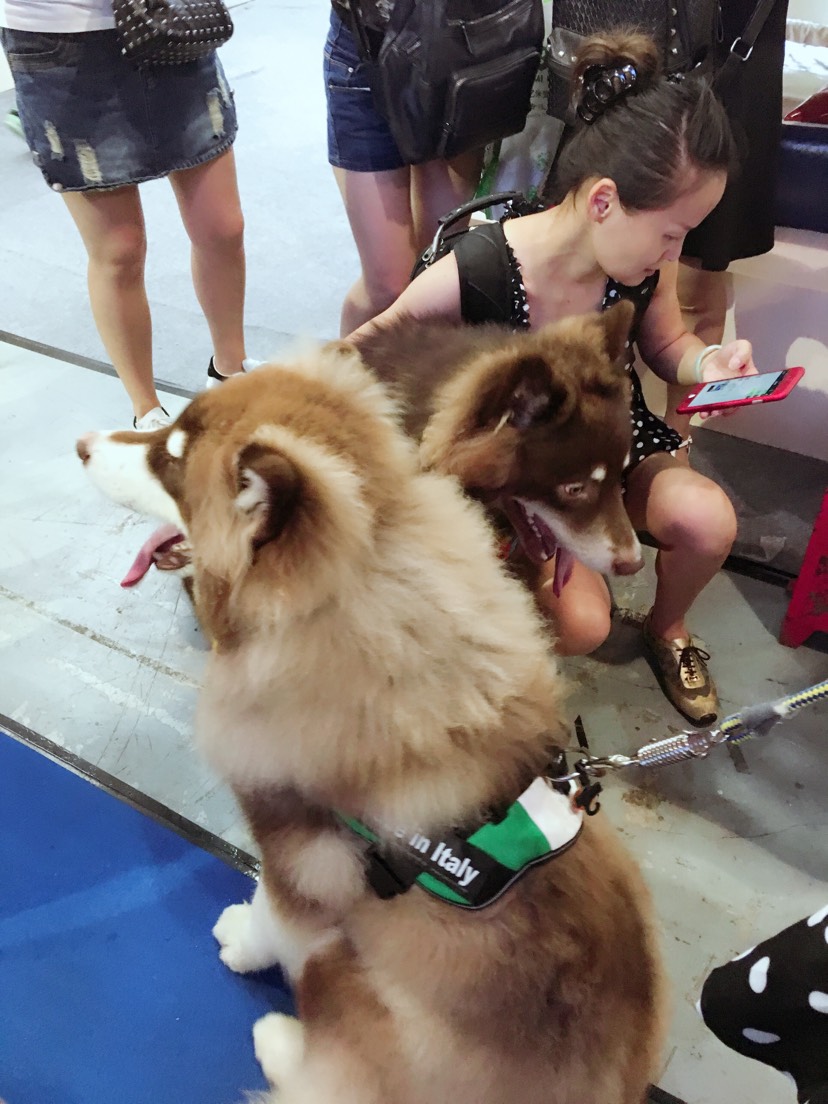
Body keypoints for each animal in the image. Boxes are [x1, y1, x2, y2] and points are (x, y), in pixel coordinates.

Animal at [77, 343, 665, 1104]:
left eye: (170, 460)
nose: (81, 444)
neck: (357, 592)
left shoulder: (296, 854)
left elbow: (269, 914)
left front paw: (241, 940)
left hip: (341, 968)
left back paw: (280, 1039)